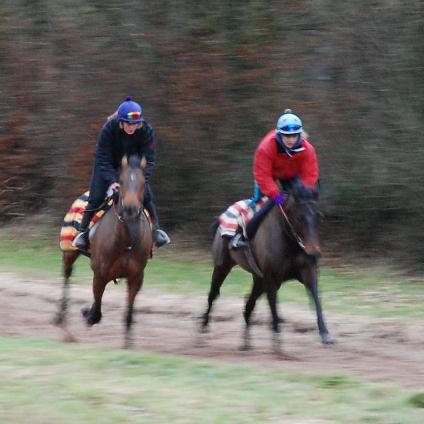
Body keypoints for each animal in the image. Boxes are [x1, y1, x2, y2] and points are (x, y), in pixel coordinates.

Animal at [55, 155, 152, 348]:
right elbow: (96, 311)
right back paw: (62, 322)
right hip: (69, 252)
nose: (130, 209)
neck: (127, 240)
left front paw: (127, 346)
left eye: (143, 182)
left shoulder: (136, 277)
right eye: (121, 181)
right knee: (66, 277)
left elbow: (128, 314)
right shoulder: (100, 273)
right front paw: (87, 314)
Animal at [200, 187, 332, 352]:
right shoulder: (271, 278)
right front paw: (277, 341)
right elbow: (274, 306)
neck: (290, 242)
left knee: (248, 304)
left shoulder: (307, 272)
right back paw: (203, 329)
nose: (314, 253)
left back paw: (246, 342)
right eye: (300, 217)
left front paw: (325, 333)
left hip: (258, 279)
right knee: (213, 294)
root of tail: (221, 220)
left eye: (319, 216)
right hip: (222, 267)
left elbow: (316, 298)